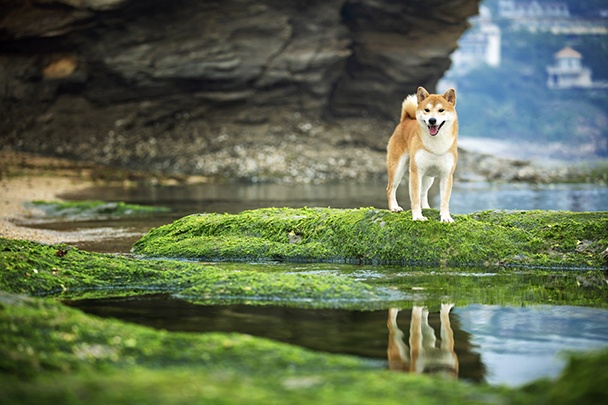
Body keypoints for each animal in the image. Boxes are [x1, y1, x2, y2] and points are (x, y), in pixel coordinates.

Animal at [388, 86, 458, 223]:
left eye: (441, 110)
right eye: (427, 110)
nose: (432, 120)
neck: (436, 145)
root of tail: (406, 120)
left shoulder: (447, 175)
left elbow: (444, 200)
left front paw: (446, 217)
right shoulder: (416, 172)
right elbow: (415, 198)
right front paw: (417, 216)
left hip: (428, 177)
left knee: (423, 193)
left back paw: (426, 207)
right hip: (397, 168)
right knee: (391, 188)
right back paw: (394, 207)